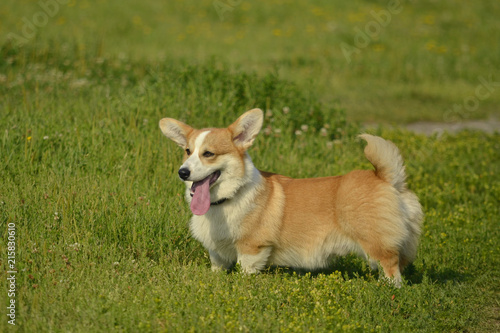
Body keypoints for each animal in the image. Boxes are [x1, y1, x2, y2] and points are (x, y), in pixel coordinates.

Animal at [159, 107, 422, 284]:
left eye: (209, 154)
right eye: (187, 151)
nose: (183, 172)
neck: (228, 199)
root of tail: (385, 178)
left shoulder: (251, 249)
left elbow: (245, 271)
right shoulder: (217, 254)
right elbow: (217, 268)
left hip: (376, 243)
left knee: (391, 268)